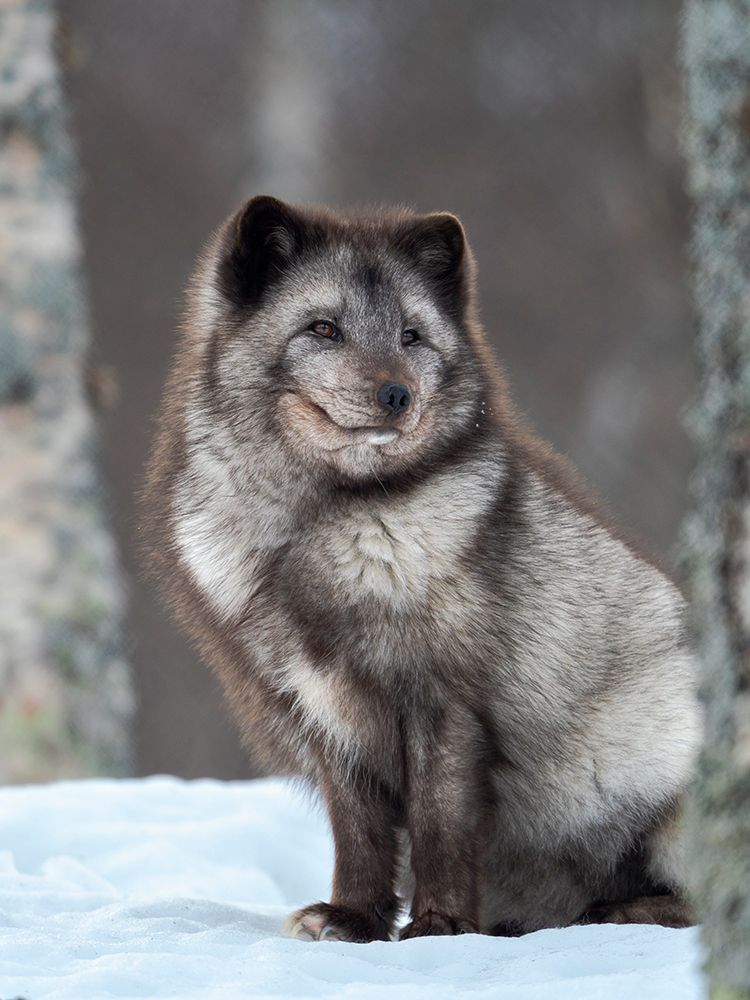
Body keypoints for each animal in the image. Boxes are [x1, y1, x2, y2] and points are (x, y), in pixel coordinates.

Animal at [143, 195, 701, 942]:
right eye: (323, 328)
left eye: (411, 336)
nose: (396, 395)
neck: (319, 519)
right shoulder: (323, 705)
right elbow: (358, 830)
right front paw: (352, 918)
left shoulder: (444, 697)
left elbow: (440, 821)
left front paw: (438, 925)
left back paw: (625, 911)